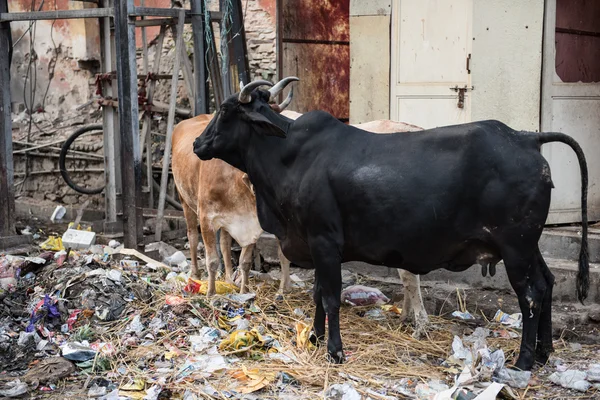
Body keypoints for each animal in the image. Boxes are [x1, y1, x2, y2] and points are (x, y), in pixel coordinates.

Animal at [195, 78, 588, 372]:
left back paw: (523, 360)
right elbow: (318, 294)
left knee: (530, 294)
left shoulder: (324, 242)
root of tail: (525, 137)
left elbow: (331, 297)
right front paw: (316, 338)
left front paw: (334, 351)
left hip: (515, 246)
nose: (198, 143)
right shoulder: (315, 244)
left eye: (225, 110)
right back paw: (543, 353)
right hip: (529, 245)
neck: (288, 157)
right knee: (547, 283)